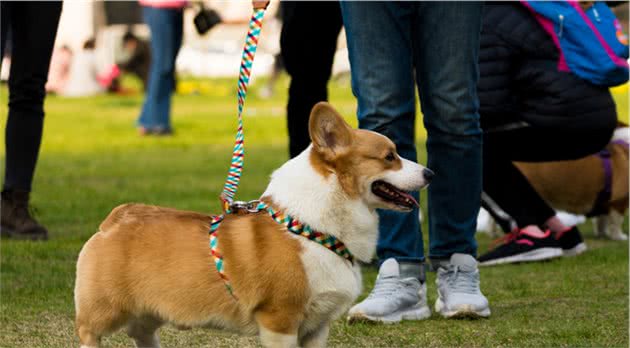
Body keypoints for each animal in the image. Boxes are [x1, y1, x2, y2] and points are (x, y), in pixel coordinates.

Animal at [71, 102, 432, 348]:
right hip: (104, 310)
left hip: (148, 311)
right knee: (89, 331)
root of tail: (116, 218)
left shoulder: (317, 326)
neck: (313, 229)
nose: (430, 173)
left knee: (142, 333)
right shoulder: (279, 321)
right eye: (389, 156)